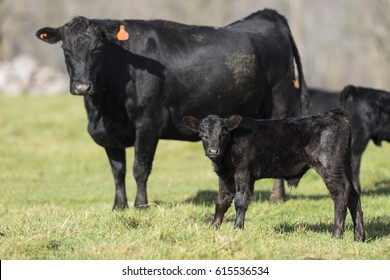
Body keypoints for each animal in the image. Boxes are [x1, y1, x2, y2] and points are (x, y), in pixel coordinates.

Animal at [35, 8, 308, 209]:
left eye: (98, 48)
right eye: (65, 50)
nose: (82, 86)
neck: (104, 110)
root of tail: (268, 14)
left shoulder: (148, 124)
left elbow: (140, 168)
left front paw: (141, 205)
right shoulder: (108, 133)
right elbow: (117, 171)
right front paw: (119, 206)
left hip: (280, 101)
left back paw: (277, 196)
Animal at [183, 107, 366, 241]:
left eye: (223, 134)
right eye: (203, 135)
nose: (213, 151)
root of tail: (333, 114)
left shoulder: (243, 172)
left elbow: (240, 200)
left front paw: (237, 229)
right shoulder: (225, 177)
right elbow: (221, 202)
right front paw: (213, 228)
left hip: (330, 165)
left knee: (341, 192)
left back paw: (336, 235)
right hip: (345, 164)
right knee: (354, 194)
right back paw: (359, 237)